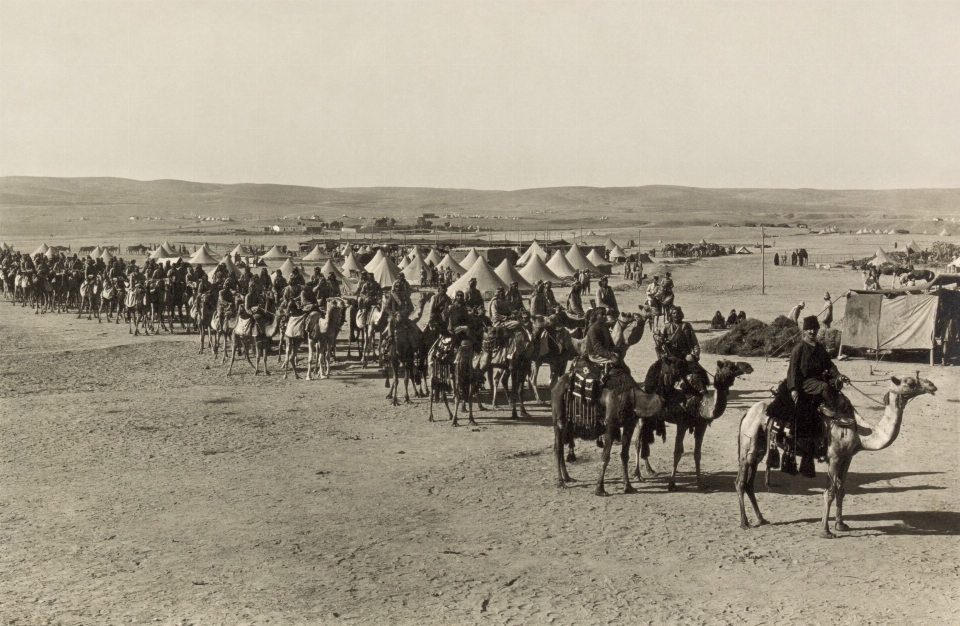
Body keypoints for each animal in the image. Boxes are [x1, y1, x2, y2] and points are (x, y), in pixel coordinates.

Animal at [632, 358, 752, 490]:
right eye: (729, 365)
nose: (748, 366)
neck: (700, 405)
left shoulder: (701, 426)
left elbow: (697, 454)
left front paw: (700, 483)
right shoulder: (682, 424)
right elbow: (677, 453)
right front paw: (671, 483)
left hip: (650, 418)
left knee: (644, 440)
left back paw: (650, 470)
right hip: (641, 417)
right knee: (637, 442)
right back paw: (638, 475)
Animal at [736, 372, 936, 532]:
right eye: (909, 382)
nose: (932, 385)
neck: (860, 430)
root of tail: (747, 413)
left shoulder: (847, 458)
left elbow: (841, 489)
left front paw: (840, 524)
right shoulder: (834, 457)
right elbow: (830, 492)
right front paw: (825, 530)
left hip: (760, 447)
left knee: (749, 483)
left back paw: (761, 519)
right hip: (749, 444)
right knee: (740, 482)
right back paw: (745, 522)